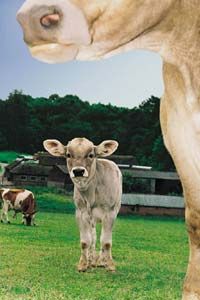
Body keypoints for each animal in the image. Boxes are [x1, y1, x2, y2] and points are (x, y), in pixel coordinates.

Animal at [43, 138, 122, 272]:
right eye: (68, 155)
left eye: (91, 155)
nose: (78, 171)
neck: (91, 195)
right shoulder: (81, 213)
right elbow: (85, 241)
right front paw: (83, 264)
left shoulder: (110, 213)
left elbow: (106, 242)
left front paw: (109, 265)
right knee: (93, 237)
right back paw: (92, 260)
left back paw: (101, 261)